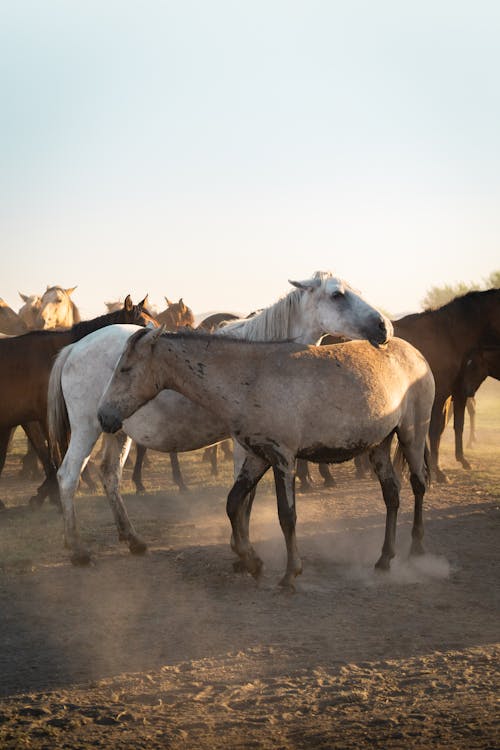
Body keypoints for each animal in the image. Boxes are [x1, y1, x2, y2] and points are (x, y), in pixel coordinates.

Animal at [47, 274, 390, 564]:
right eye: (337, 294)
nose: (384, 326)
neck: (258, 361)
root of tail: (74, 348)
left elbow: (245, 496)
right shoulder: (248, 445)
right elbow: (244, 496)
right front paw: (243, 551)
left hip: (116, 430)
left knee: (110, 476)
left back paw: (133, 540)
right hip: (87, 429)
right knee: (68, 476)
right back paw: (77, 550)